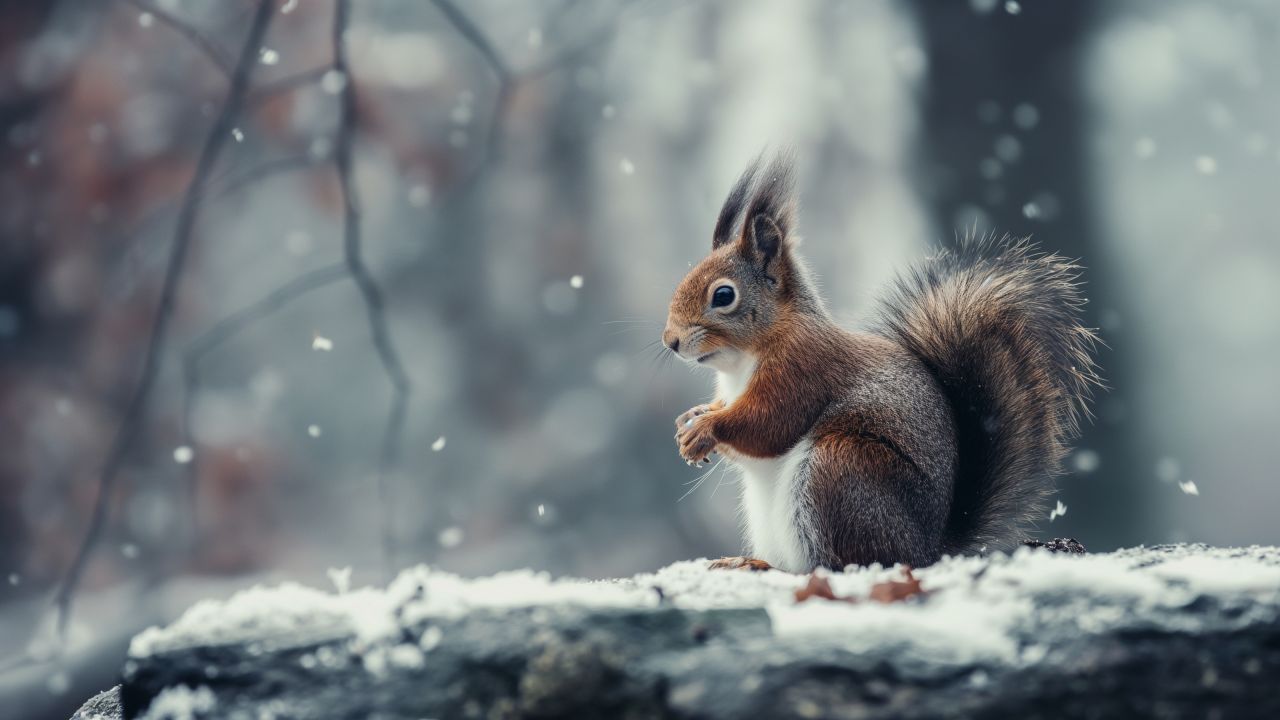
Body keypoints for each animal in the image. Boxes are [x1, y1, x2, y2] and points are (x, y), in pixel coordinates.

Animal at [663, 153, 1100, 573]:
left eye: (723, 295)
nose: (671, 342)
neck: (741, 362)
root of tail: (928, 549)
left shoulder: (803, 369)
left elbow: (768, 424)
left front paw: (707, 427)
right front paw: (691, 420)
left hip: (840, 468)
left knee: (848, 562)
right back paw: (748, 560)